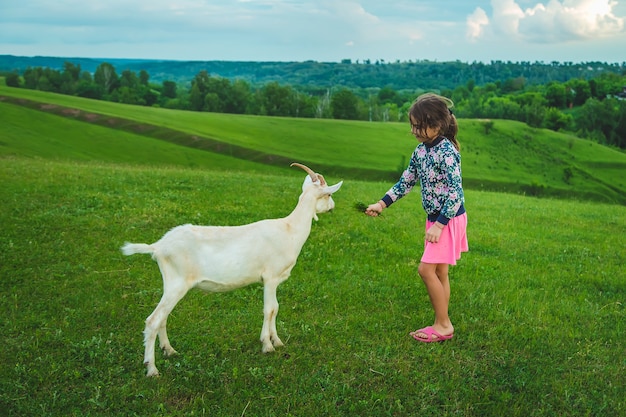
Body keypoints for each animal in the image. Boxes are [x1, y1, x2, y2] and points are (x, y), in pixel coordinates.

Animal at [120, 163, 342, 376]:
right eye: (329, 195)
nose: (332, 207)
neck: (289, 229)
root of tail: (158, 246)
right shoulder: (270, 277)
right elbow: (269, 309)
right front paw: (267, 345)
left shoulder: (273, 281)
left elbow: (276, 308)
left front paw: (277, 341)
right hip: (178, 283)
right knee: (153, 320)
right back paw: (152, 369)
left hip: (171, 283)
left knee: (162, 318)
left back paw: (169, 350)